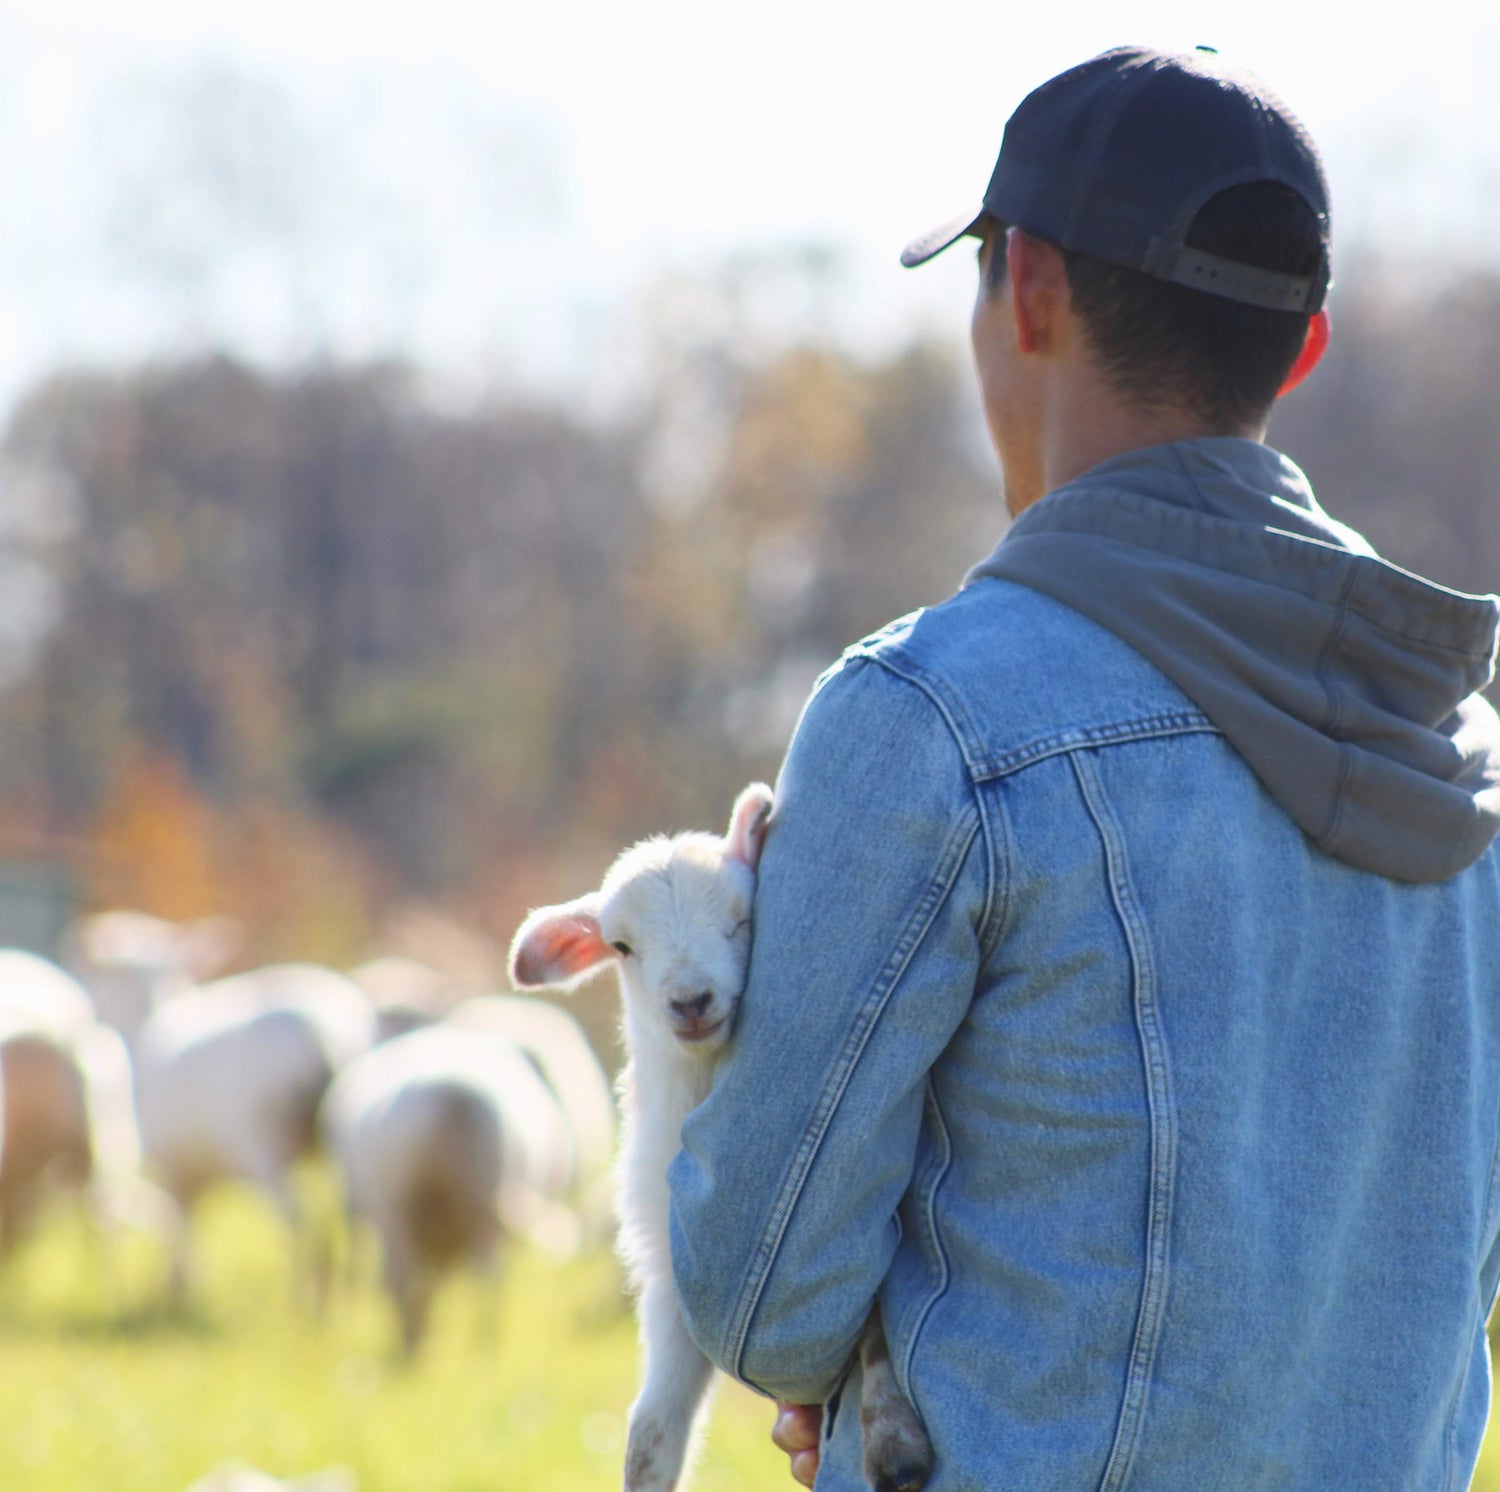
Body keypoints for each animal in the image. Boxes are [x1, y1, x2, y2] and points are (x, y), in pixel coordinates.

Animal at [513, 779, 936, 1492]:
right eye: (622, 947)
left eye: (744, 920)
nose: (690, 1002)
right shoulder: (672, 1273)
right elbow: (650, 1436)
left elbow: (872, 1317)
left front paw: (893, 1444)